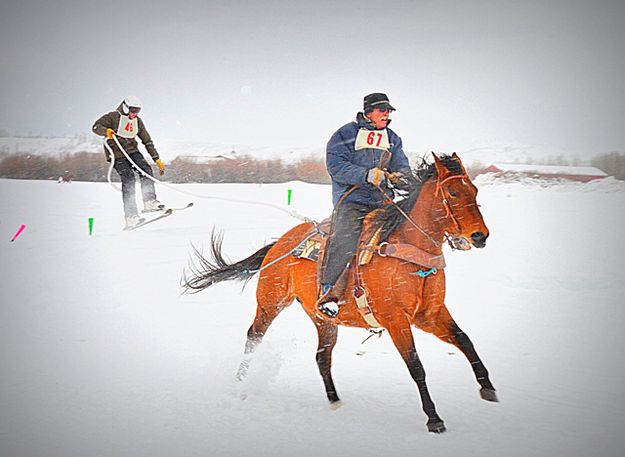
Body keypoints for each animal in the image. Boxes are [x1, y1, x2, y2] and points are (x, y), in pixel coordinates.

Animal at [183, 152, 494, 432]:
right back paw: (239, 382)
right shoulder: (396, 320)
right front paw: (434, 418)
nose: (480, 236)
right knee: (253, 338)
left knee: (322, 356)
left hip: (322, 319)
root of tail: (280, 242)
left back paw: (334, 400)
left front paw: (488, 386)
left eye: (474, 189)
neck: (409, 252)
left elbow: (465, 340)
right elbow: (416, 366)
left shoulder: (430, 314)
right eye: (453, 192)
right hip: (271, 303)